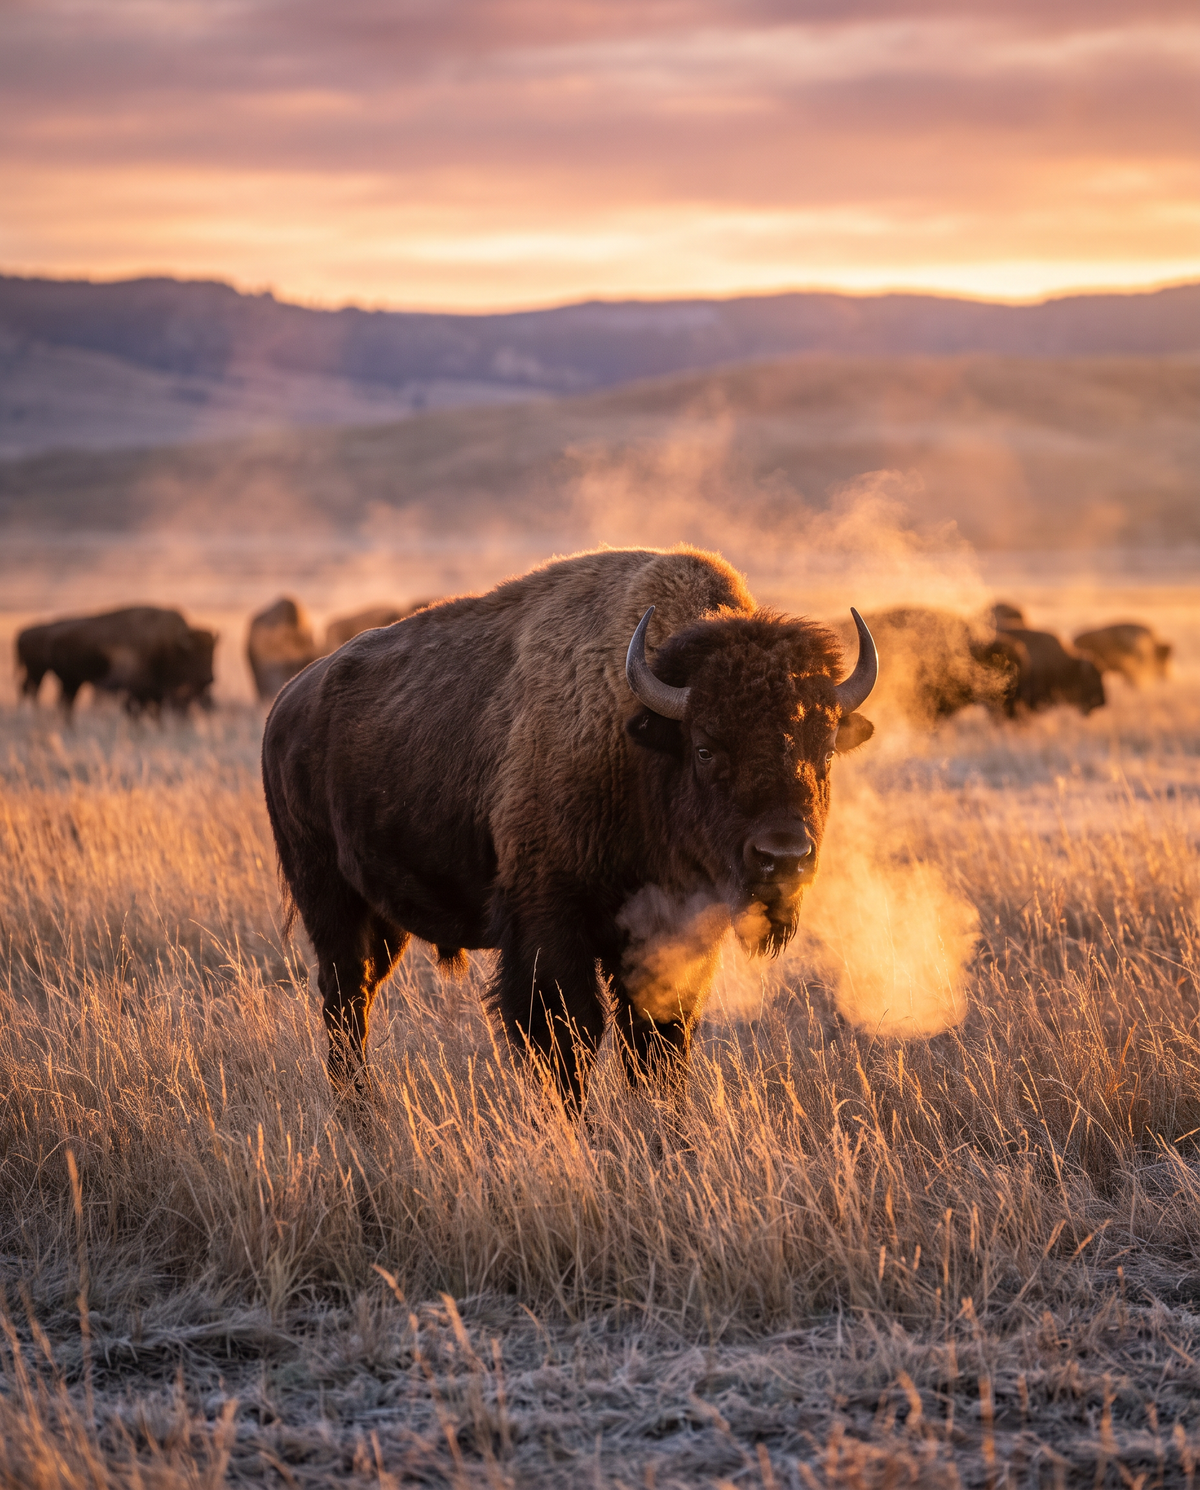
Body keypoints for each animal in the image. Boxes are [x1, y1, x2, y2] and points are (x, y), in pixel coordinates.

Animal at [16, 607, 216, 715]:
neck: (169, 644)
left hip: (65, 680)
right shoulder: (138, 689)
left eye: (212, 653)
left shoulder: (155, 691)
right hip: (57, 677)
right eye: (195, 655)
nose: (209, 678)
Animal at [262, 547, 877, 1107]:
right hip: (329, 899)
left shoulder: (674, 936)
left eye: (825, 751)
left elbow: (659, 1045)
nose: (784, 856)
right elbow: (567, 1040)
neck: (640, 744)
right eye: (705, 747)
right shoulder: (548, 927)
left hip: (385, 918)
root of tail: (285, 704)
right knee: (344, 1000)